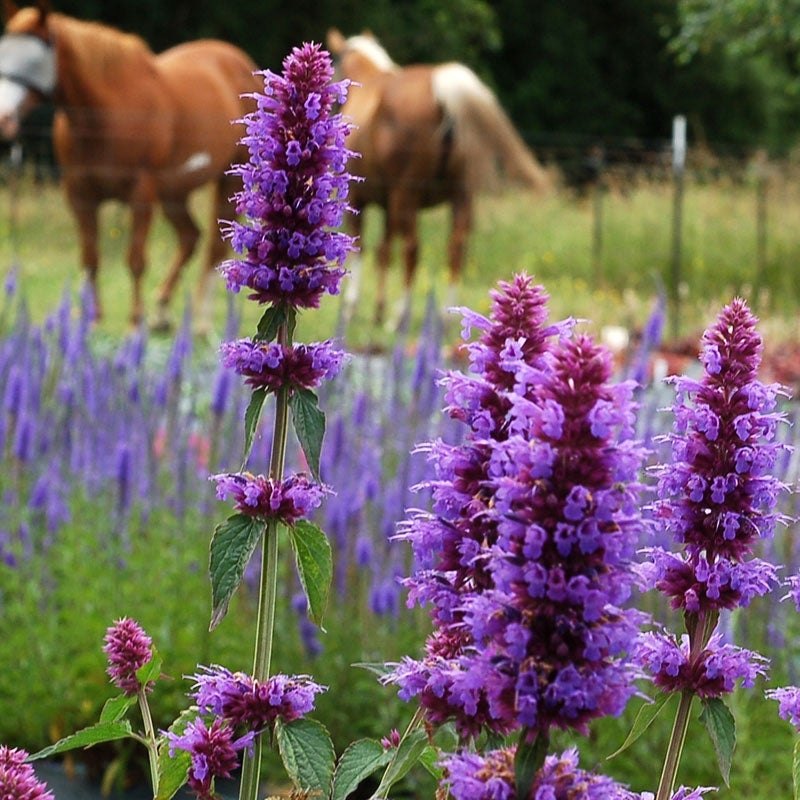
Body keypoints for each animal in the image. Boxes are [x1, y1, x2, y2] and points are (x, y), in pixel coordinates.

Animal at [0, 1, 260, 330]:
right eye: (4, 50)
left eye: (34, 58)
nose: (4, 118)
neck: (106, 111)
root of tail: (239, 62)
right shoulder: (80, 194)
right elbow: (90, 257)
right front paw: (92, 320)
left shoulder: (141, 192)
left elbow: (135, 259)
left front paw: (135, 322)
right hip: (174, 192)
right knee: (190, 237)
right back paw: (162, 310)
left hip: (230, 179)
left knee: (214, 246)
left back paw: (201, 320)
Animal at [324, 28, 552, 324]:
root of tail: (442, 92)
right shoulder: (388, 204)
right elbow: (384, 251)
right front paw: (377, 309)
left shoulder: (362, 199)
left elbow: (362, 246)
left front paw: (352, 306)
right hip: (460, 195)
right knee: (455, 248)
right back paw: (448, 315)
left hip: (407, 195)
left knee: (412, 249)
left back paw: (400, 315)